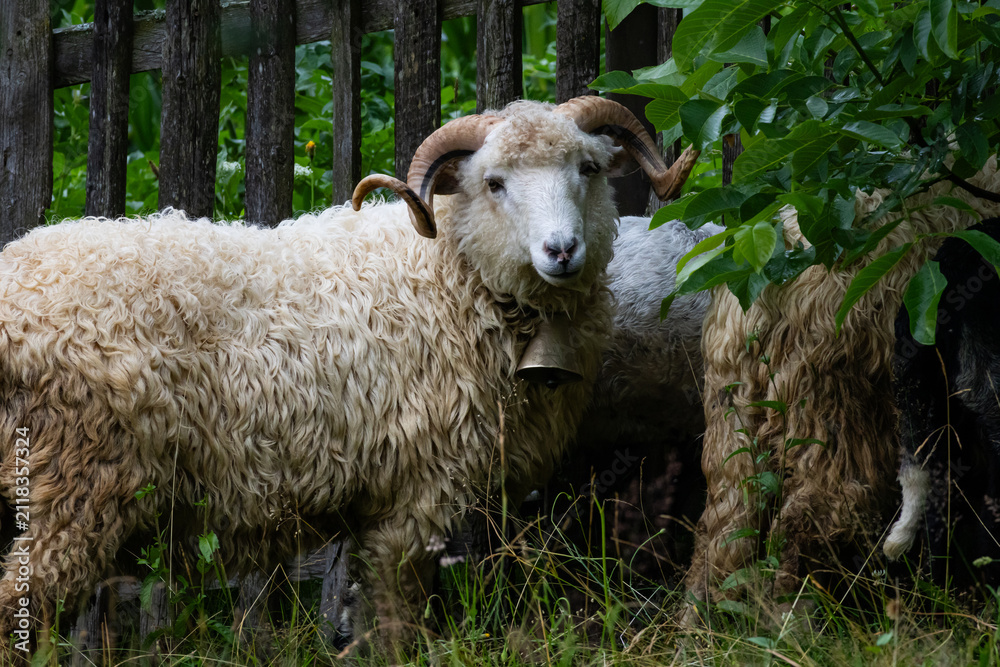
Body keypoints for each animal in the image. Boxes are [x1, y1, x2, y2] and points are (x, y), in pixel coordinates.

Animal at [0, 96, 697, 654]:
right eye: (495, 182)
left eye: (588, 169)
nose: (561, 250)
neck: (447, 273)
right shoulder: (415, 494)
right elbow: (395, 615)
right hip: (76, 483)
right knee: (20, 602)